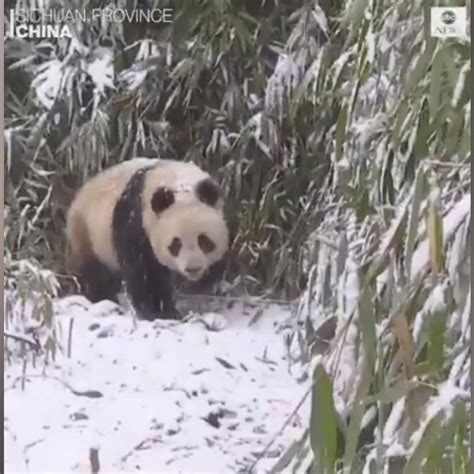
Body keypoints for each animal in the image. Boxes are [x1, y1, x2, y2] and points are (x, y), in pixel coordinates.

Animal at [66, 157, 230, 320]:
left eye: (204, 240)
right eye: (175, 244)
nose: (193, 269)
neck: (179, 183)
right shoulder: (135, 221)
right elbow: (145, 273)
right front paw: (159, 312)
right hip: (87, 233)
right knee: (94, 274)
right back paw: (104, 299)